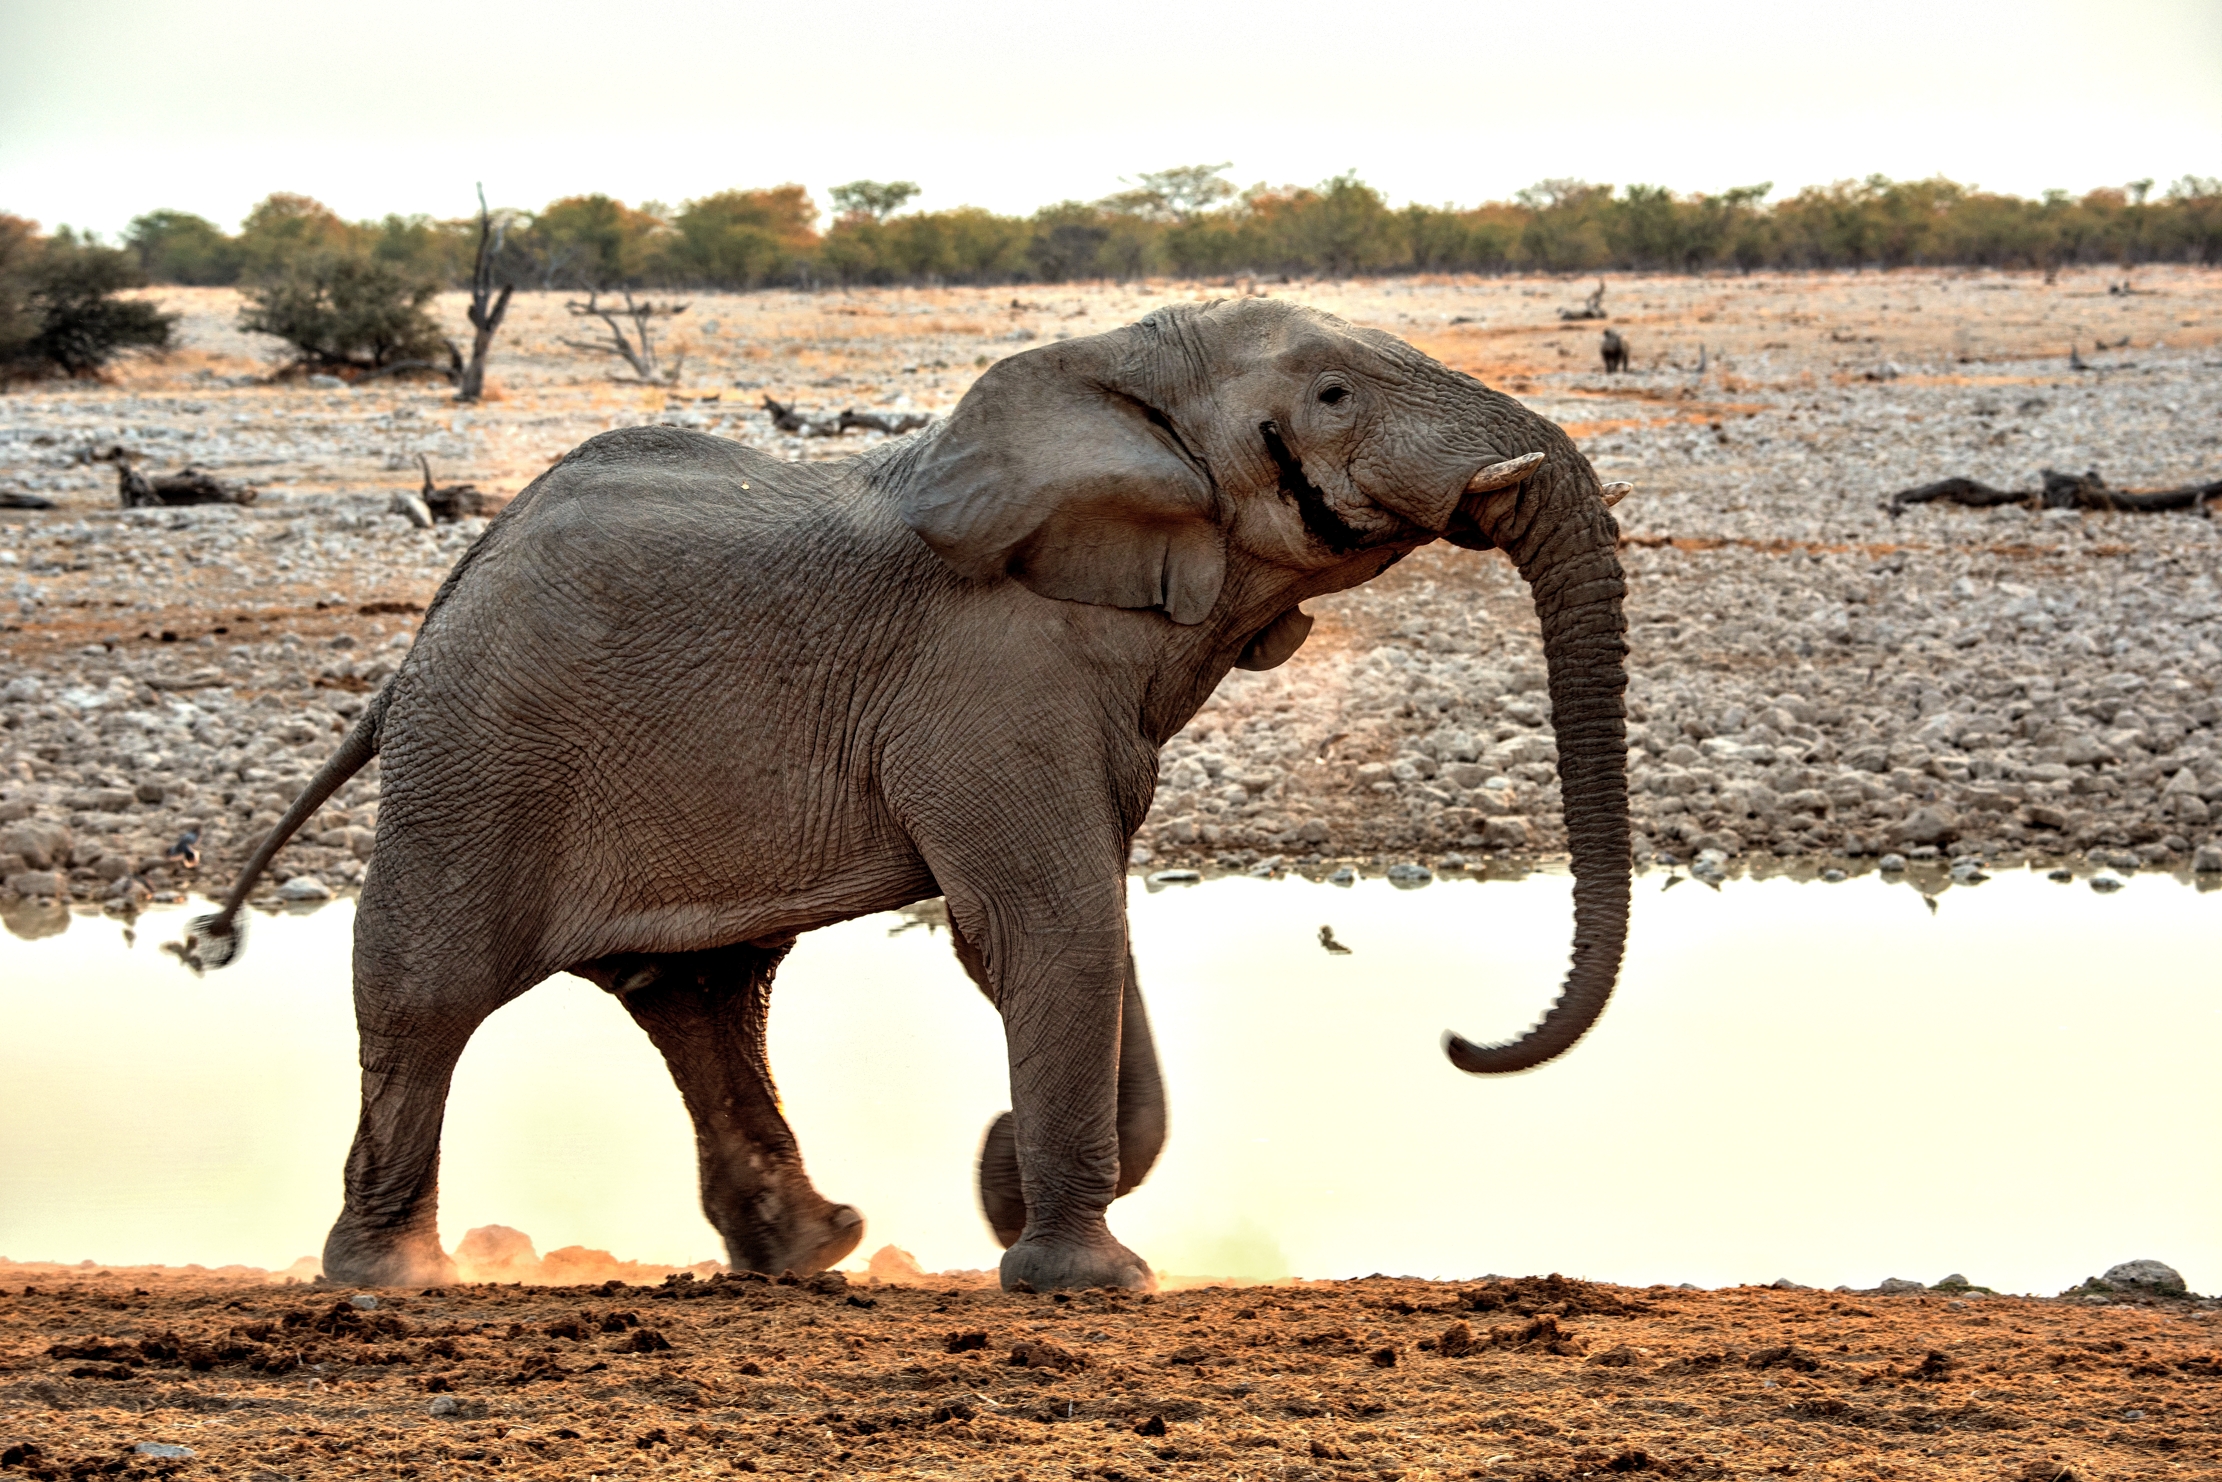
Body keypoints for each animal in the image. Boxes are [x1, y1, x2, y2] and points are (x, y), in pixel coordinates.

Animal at [188, 297, 1634, 1293]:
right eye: (1332, 392)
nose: (1455, 1040)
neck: (1120, 379)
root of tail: (422, 633)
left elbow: (1082, 919)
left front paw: (1017, 1197)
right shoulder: (988, 676)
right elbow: (1045, 924)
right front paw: (1086, 1279)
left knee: (705, 996)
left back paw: (810, 1249)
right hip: (476, 758)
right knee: (428, 992)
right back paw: (393, 1275)